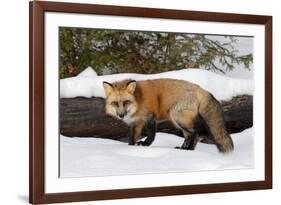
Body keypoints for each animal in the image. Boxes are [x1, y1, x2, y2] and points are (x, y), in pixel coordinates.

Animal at [101, 78, 233, 154]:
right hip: (178, 121)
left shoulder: (150, 118)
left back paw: (188, 150)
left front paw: (144, 145)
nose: (121, 115)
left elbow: (151, 135)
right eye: (115, 103)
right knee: (190, 135)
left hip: (176, 117)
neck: (137, 101)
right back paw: (184, 149)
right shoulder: (136, 123)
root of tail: (201, 89)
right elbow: (132, 138)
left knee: (195, 134)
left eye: (126, 102)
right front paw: (130, 149)